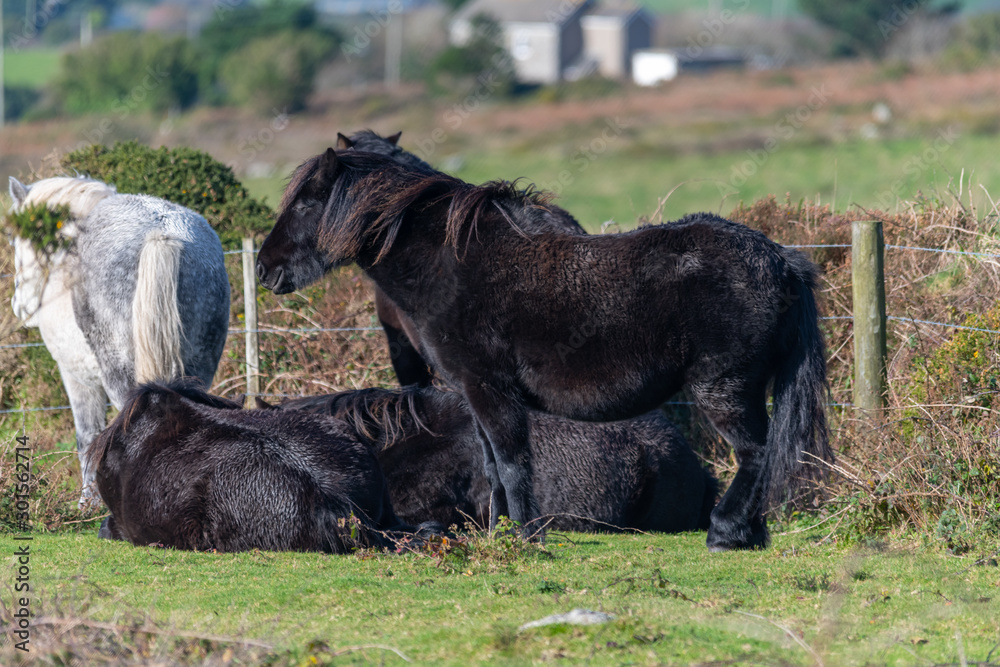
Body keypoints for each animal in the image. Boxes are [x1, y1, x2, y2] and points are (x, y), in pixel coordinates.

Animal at [7, 177, 230, 506]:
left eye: (13, 238)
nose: (19, 305)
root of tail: (163, 234)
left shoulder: (76, 378)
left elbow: (87, 436)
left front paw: (88, 502)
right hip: (199, 368)